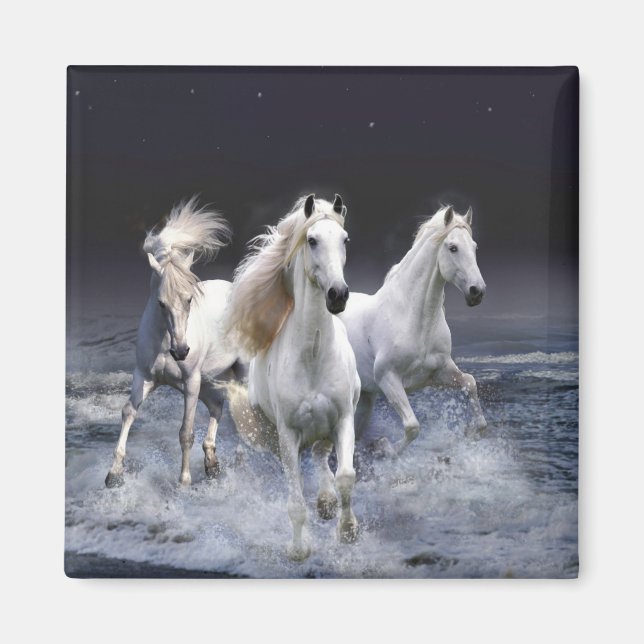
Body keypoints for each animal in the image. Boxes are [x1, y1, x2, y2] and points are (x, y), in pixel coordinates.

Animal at [105, 197, 246, 487]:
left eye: (189, 299)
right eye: (161, 303)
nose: (181, 351)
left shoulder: (190, 382)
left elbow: (186, 432)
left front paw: (184, 482)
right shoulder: (144, 376)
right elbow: (128, 412)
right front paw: (113, 474)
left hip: (239, 372)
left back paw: (238, 460)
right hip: (209, 380)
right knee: (217, 407)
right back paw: (212, 464)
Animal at [224, 194, 361, 561]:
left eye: (345, 240)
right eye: (311, 240)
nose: (338, 295)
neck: (312, 356)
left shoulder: (343, 418)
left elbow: (345, 476)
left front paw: (347, 532)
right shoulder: (288, 434)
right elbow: (295, 501)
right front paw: (299, 549)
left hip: (326, 428)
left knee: (321, 457)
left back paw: (326, 503)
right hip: (275, 436)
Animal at [339, 205, 487, 456]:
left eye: (475, 247)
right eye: (453, 247)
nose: (477, 292)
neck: (414, 320)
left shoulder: (438, 373)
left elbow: (470, 383)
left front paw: (471, 432)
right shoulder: (388, 379)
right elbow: (412, 426)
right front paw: (385, 448)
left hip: (365, 398)